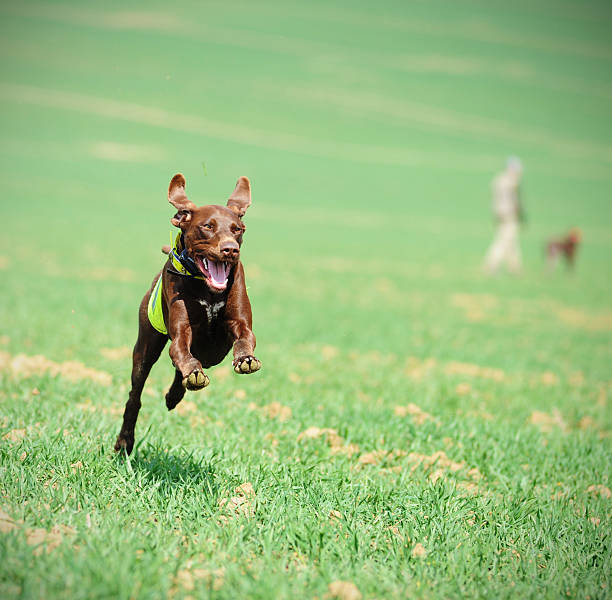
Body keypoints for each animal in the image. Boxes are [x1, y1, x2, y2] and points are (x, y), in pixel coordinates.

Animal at [115, 173, 260, 454]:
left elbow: (244, 337)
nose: (230, 249)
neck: (208, 291)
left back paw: (176, 393)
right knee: (135, 395)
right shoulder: (181, 329)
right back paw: (125, 440)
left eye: (237, 229)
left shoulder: (238, 322)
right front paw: (191, 372)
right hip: (145, 347)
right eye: (208, 226)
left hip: (212, 353)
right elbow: (181, 349)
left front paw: (246, 358)